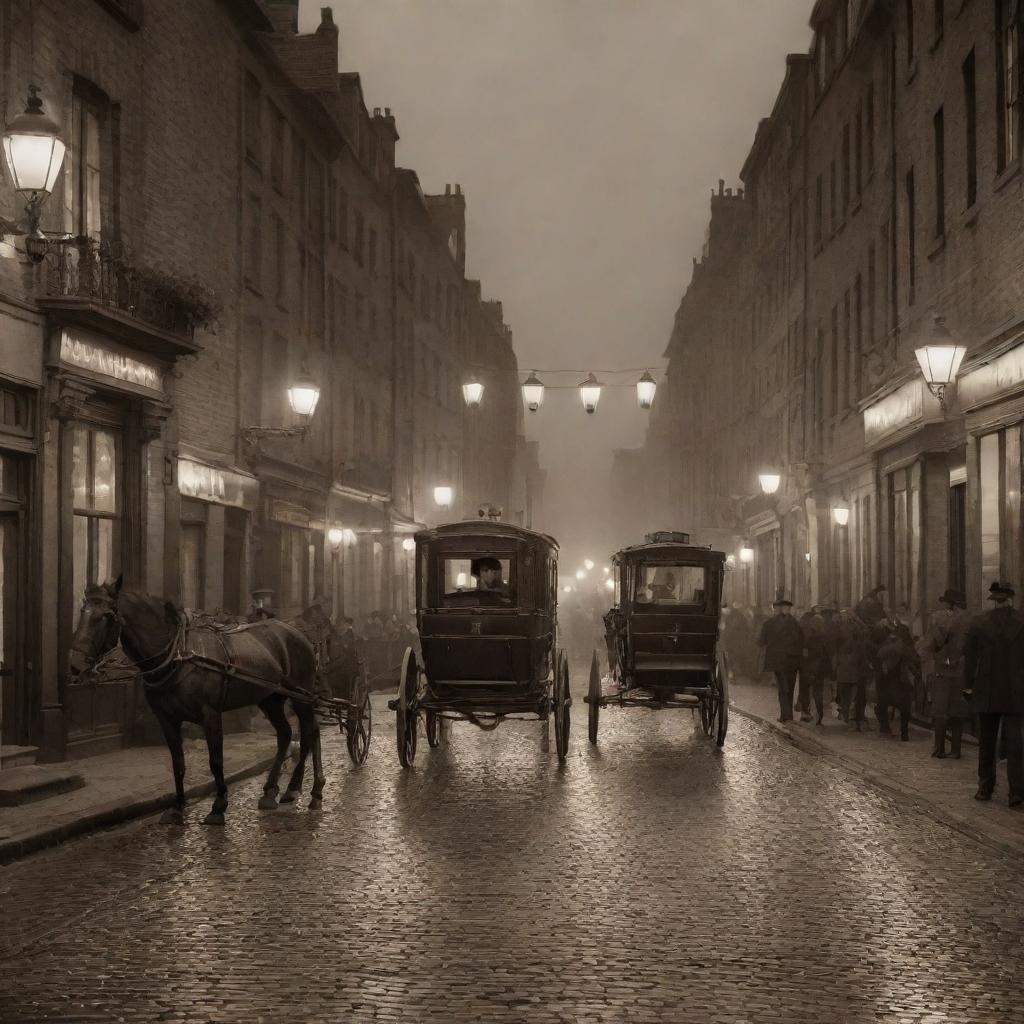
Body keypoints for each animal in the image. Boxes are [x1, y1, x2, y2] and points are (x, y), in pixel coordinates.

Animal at [69, 577, 323, 823]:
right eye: (83, 611)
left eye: (107, 615)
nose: (76, 666)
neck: (177, 654)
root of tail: (299, 634)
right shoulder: (167, 719)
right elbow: (178, 763)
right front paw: (177, 807)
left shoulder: (210, 715)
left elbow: (216, 760)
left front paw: (218, 807)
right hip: (270, 699)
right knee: (286, 734)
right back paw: (272, 791)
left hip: (301, 696)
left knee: (310, 731)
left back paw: (302, 791)